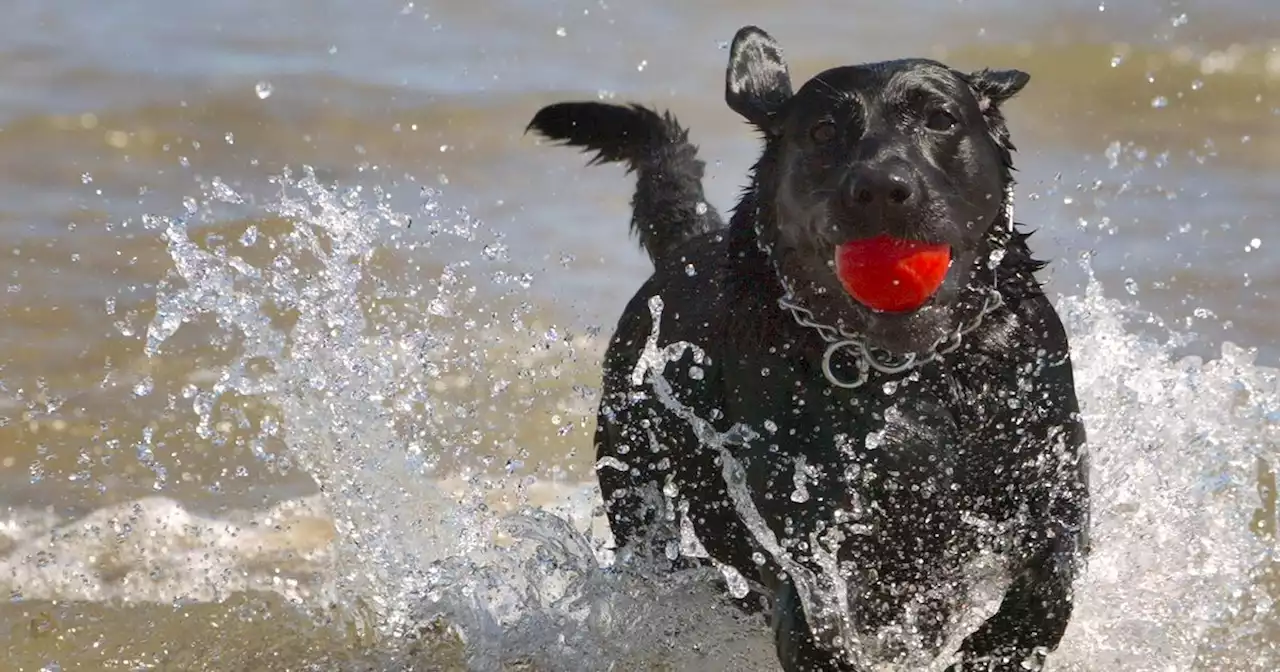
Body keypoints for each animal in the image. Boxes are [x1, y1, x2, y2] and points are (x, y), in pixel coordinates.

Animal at [527, 26, 1090, 670]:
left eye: (941, 119)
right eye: (823, 131)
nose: (882, 188)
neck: (909, 372)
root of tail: (689, 244)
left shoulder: (1049, 473)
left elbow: (1053, 572)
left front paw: (998, 648)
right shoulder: (811, 529)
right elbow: (815, 610)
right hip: (633, 464)